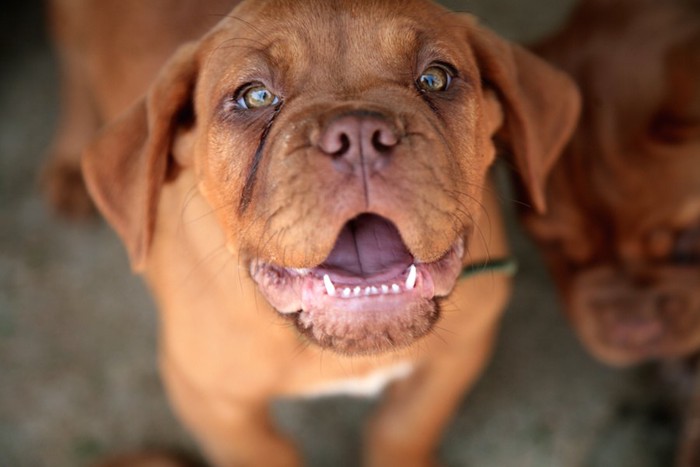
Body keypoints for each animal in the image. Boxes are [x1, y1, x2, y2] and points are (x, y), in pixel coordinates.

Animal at [45, 1, 580, 466]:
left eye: (436, 77)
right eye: (255, 96)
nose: (359, 137)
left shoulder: (463, 350)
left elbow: (402, 428)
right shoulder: (210, 399)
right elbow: (269, 455)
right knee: (71, 59)